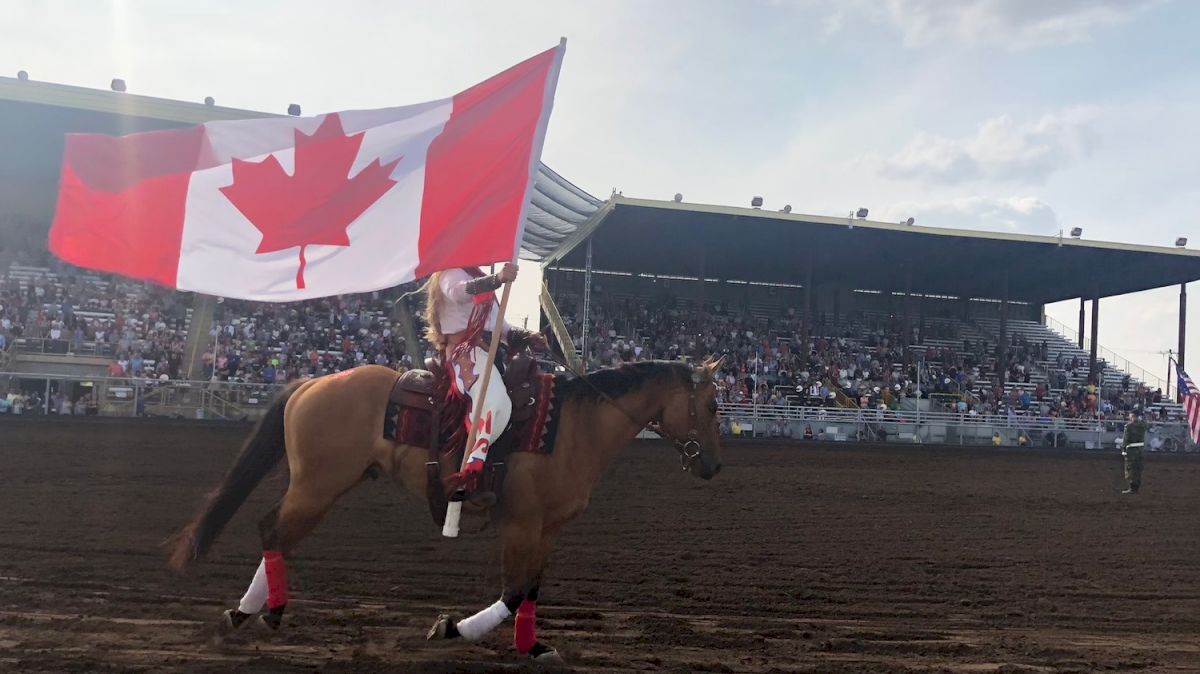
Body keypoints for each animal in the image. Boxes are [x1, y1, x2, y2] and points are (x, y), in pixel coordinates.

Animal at [163, 357, 715, 662]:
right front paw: (451, 629)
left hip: (322, 486)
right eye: (711, 405)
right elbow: (513, 591)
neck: (574, 428)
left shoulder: (549, 528)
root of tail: (313, 383)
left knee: (276, 534)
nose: (712, 466)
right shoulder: (521, 523)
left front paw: (534, 648)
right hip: (318, 487)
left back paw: (241, 615)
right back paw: (268, 613)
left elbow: (532, 590)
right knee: (272, 531)